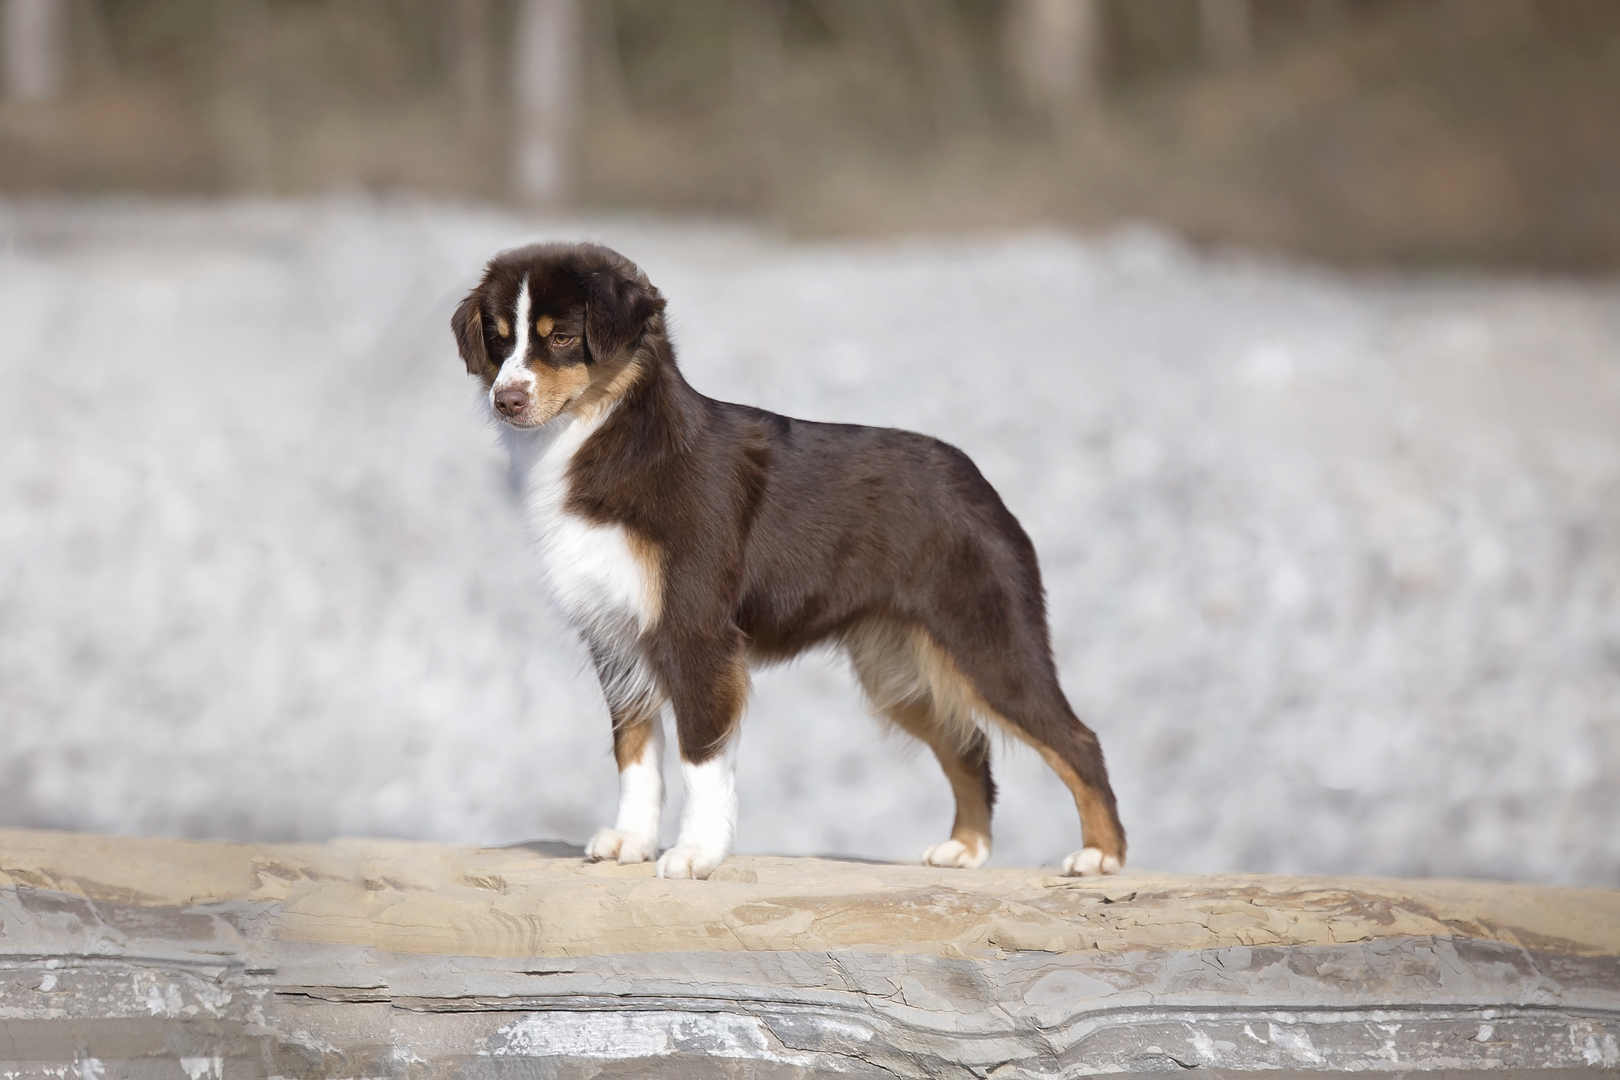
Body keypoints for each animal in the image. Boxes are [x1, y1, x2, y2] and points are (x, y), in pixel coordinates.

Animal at [450, 242, 1121, 880]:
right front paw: (632, 842)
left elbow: (701, 759)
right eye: (499, 338)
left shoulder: (696, 632)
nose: (506, 400)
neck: (610, 436)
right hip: (899, 669)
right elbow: (634, 751)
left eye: (562, 336)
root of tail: (975, 479)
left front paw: (696, 855)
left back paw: (1100, 857)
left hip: (988, 642)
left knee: (1077, 739)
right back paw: (967, 848)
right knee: (969, 745)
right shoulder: (614, 634)